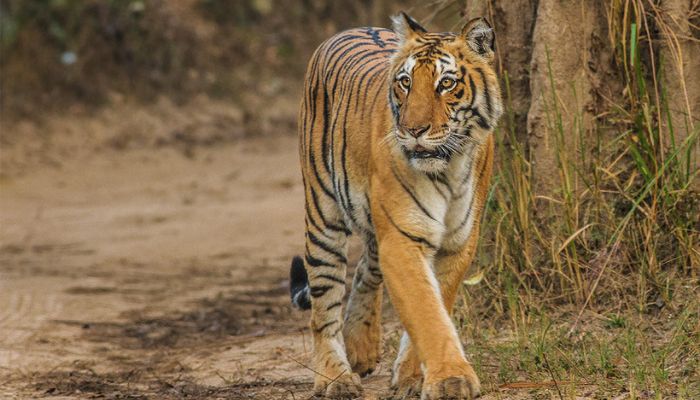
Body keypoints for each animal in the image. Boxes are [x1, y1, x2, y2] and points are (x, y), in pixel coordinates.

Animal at [289, 12, 502, 399]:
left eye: (446, 83)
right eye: (405, 82)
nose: (414, 130)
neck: (448, 168)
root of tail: (350, 29)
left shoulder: (458, 242)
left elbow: (437, 304)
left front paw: (411, 377)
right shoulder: (402, 240)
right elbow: (426, 311)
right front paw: (451, 379)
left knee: (364, 270)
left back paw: (361, 347)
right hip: (323, 214)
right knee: (324, 306)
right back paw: (335, 378)